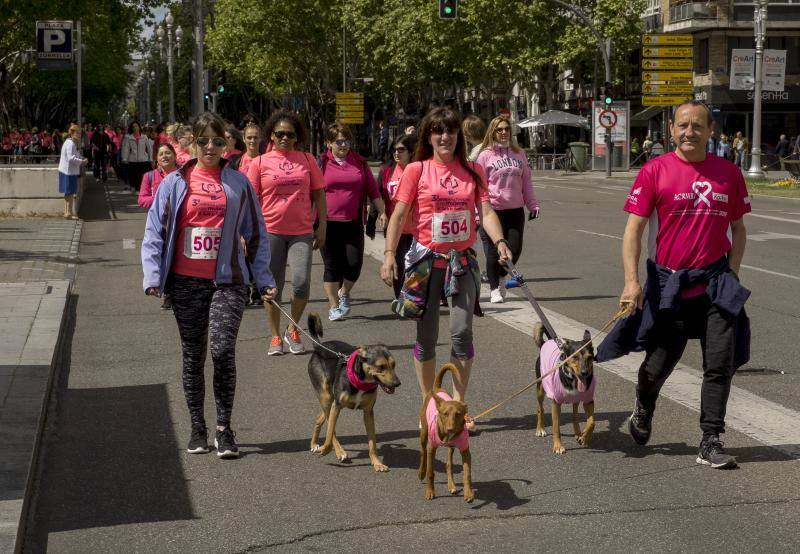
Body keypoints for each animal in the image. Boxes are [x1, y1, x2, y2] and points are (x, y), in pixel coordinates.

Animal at [304, 312, 398, 468]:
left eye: (394, 364)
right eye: (381, 367)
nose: (398, 383)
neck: (361, 382)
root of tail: (319, 346)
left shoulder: (368, 412)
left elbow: (372, 442)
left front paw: (377, 463)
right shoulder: (337, 406)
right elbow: (331, 432)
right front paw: (330, 449)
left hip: (329, 400)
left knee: (319, 418)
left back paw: (314, 444)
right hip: (327, 398)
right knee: (329, 425)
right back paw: (335, 450)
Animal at [416, 362, 472, 500]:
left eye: (458, 414)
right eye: (445, 414)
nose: (450, 429)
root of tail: (437, 389)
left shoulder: (465, 450)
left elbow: (467, 473)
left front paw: (469, 493)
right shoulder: (432, 448)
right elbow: (430, 472)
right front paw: (430, 491)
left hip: (451, 447)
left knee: (449, 464)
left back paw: (451, 485)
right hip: (424, 433)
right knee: (423, 452)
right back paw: (421, 472)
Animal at [536, 322, 596, 450]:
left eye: (589, 357)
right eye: (574, 357)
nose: (584, 373)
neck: (573, 380)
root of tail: (546, 342)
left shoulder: (588, 400)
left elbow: (591, 422)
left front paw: (585, 437)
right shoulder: (556, 403)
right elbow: (556, 426)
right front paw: (558, 446)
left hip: (575, 400)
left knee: (575, 416)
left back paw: (578, 433)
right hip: (540, 388)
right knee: (540, 409)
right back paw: (540, 429)